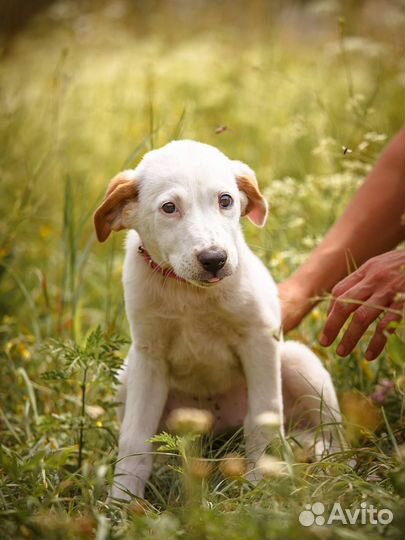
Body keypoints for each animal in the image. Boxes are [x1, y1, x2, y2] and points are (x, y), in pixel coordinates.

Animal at [93, 141, 342, 500]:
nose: (214, 259)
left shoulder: (260, 339)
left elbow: (263, 419)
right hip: (127, 375)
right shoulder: (149, 356)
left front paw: (259, 488)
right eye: (169, 208)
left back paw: (329, 462)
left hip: (299, 362)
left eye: (225, 200)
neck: (190, 294)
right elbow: (134, 438)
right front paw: (123, 502)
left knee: (331, 431)